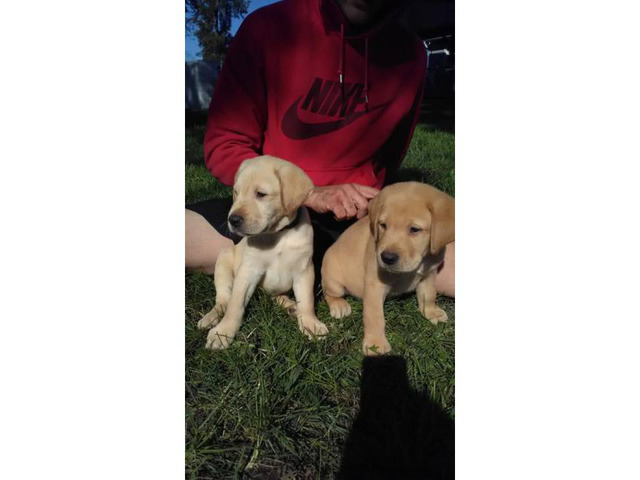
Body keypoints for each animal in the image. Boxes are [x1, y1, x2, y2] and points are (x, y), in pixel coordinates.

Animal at [199, 157, 330, 348]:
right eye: (236, 192)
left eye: (261, 194)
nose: (233, 220)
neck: (278, 234)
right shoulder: (248, 271)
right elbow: (235, 304)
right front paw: (223, 332)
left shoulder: (304, 270)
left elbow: (307, 301)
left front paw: (310, 323)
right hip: (223, 263)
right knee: (223, 300)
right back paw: (210, 318)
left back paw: (291, 306)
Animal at [320, 182, 456, 354]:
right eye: (383, 225)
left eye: (414, 229)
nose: (387, 258)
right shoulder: (375, 285)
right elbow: (375, 317)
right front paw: (375, 344)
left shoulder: (429, 275)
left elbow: (429, 295)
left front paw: (431, 312)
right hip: (333, 279)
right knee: (329, 293)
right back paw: (339, 306)